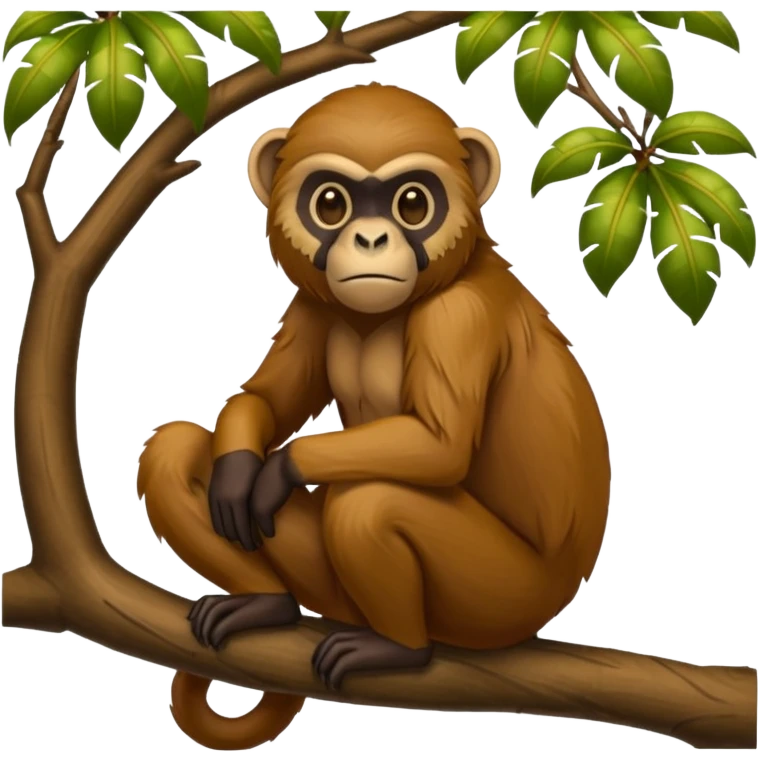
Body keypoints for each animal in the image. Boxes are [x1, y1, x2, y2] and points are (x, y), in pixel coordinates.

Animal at [136, 82, 612, 751]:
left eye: (412, 203)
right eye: (331, 203)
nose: (368, 240)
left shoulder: (459, 317)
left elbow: (437, 447)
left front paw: (279, 471)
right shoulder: (313, 305)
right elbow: (262, 404)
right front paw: (239, 475)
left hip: (501, 600)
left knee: (370, 501)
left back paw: (401, 648)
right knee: (176, 450)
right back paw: (267, 603)